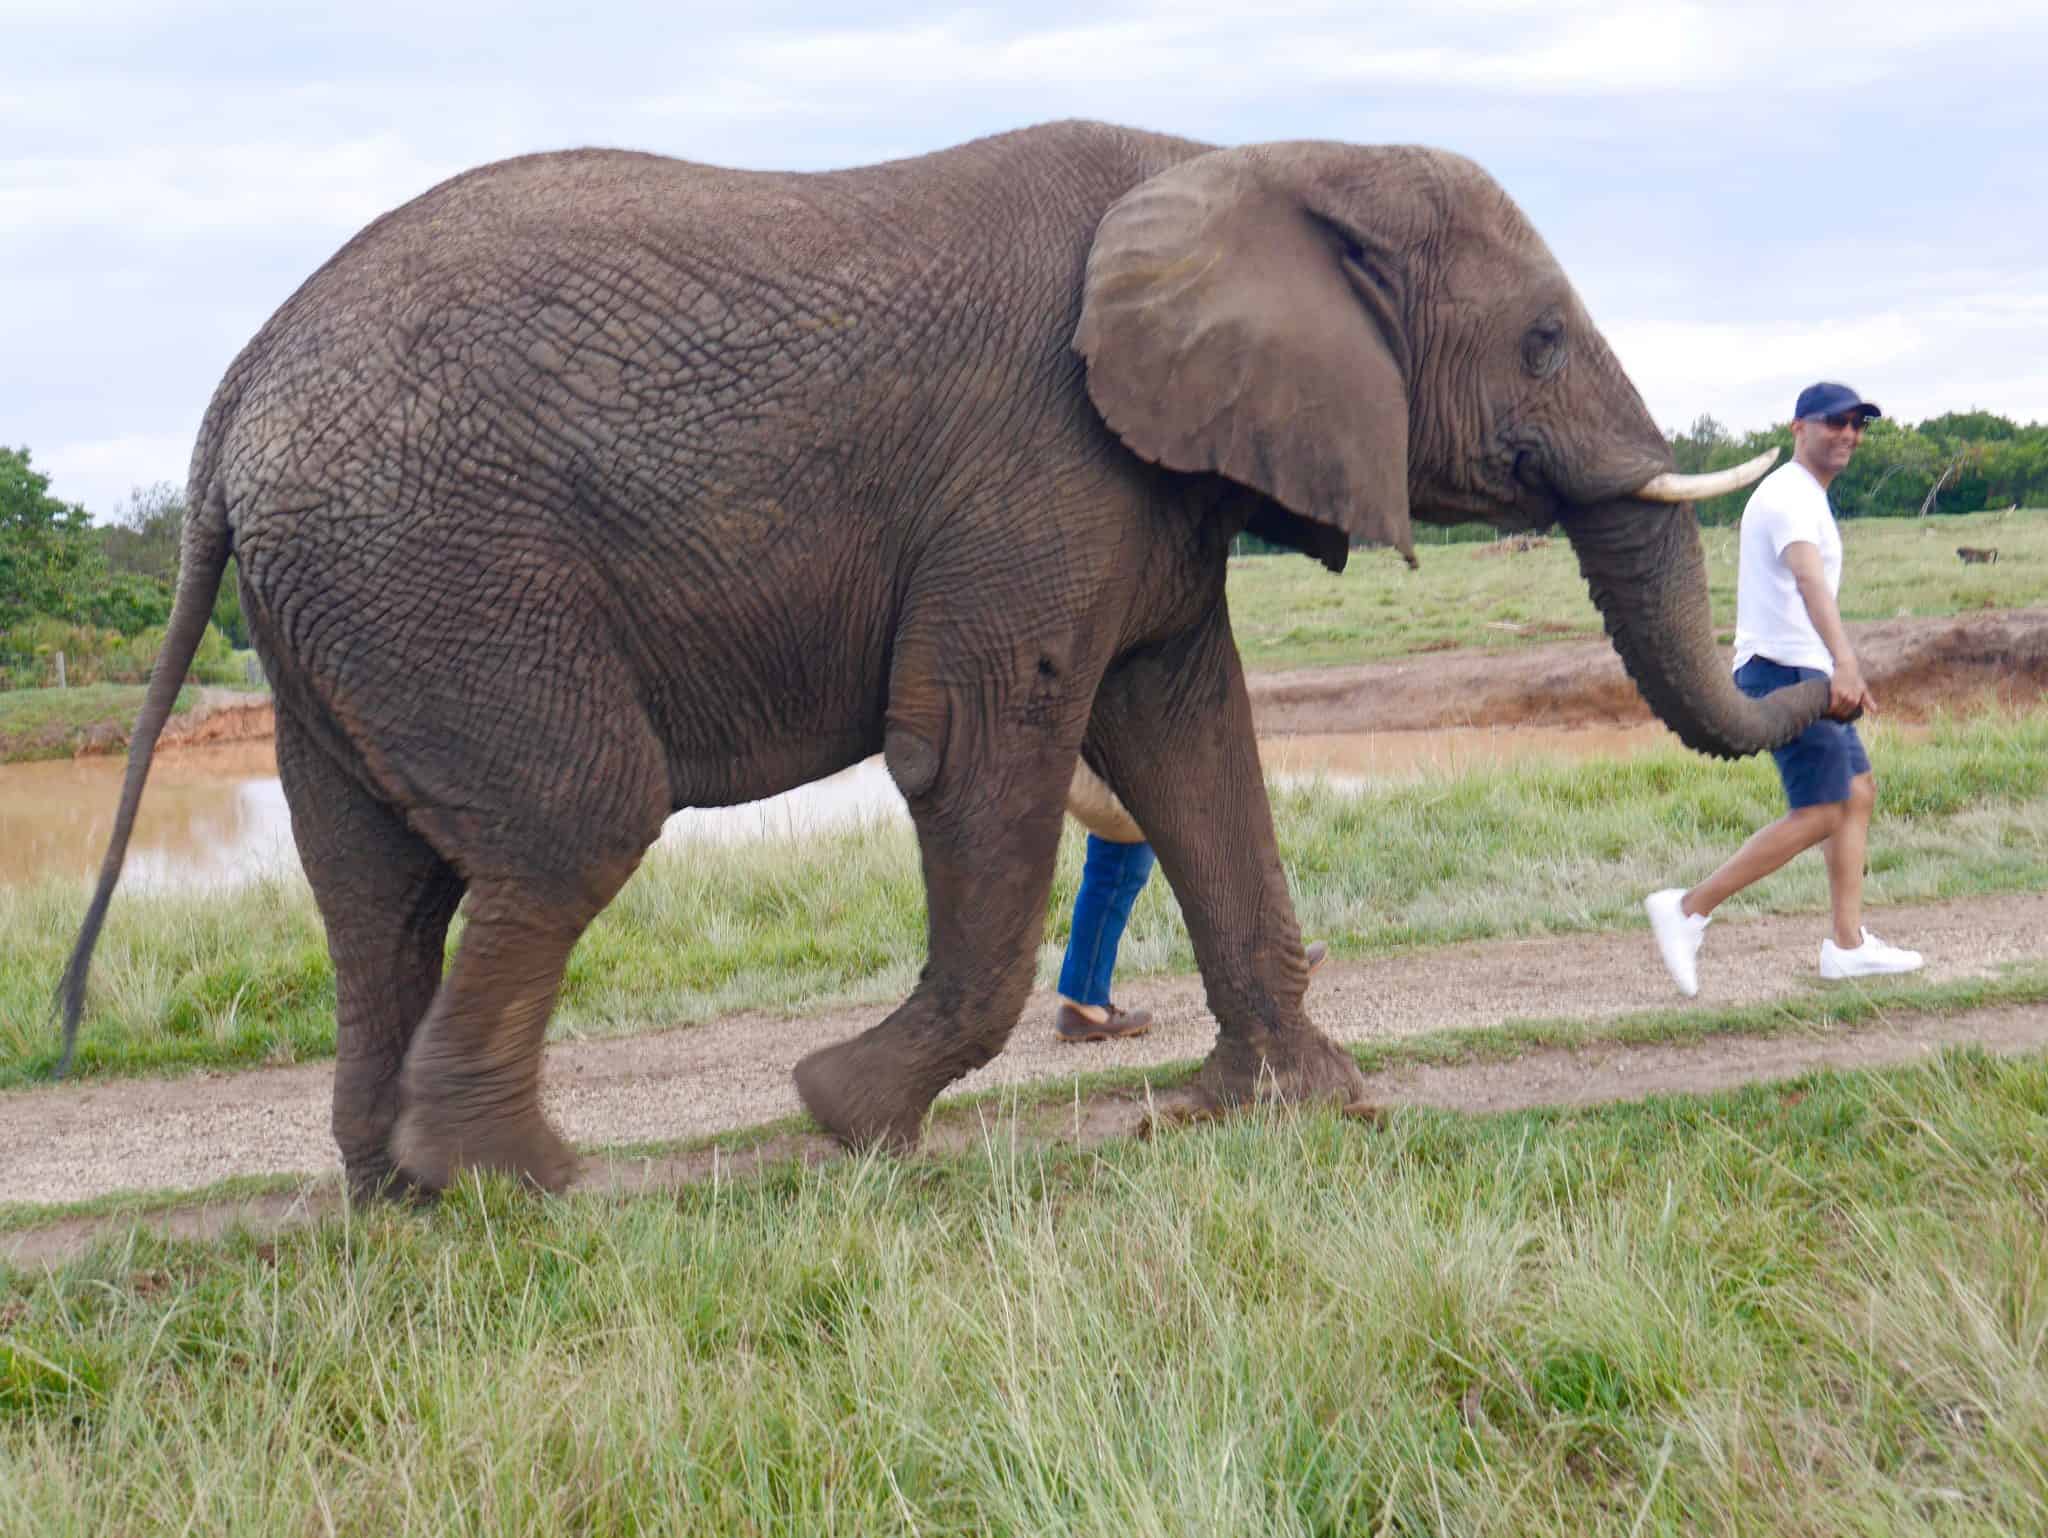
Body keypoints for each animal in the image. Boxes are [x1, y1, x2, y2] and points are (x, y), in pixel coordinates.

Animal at [59, 119, 1821, 1199]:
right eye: (1541, 339)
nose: (1833, 684)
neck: (1241, 158)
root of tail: (228, 405)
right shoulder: (1040, 463)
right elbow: (984, 742)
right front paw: (848, 1120)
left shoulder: (1146, 487)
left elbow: (1192, 744)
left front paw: (1296, 1107)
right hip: (440, 566)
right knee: (571, 824)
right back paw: (524, 1186)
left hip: (350, 604)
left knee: (376, 887)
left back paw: (397, 1194)